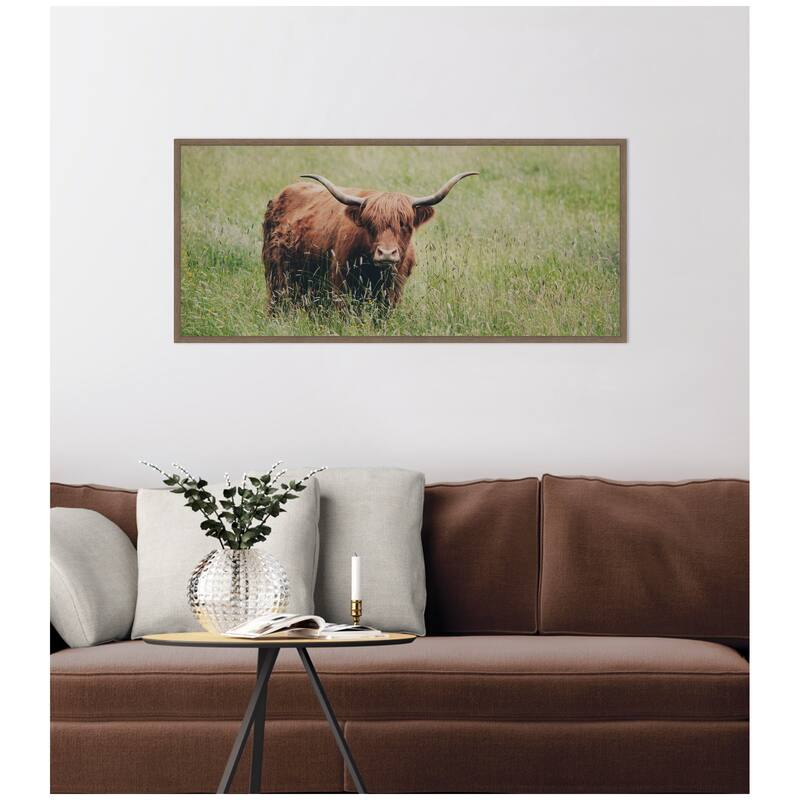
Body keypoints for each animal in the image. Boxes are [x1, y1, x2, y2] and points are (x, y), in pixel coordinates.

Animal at [262, 172, 478, 310]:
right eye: (371, 224)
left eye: (404, 224)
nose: (387, 254)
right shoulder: (340, 287)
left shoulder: (394, 292)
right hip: (277, 278)